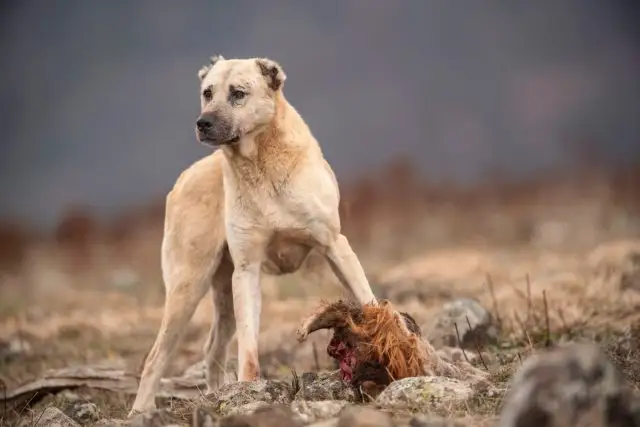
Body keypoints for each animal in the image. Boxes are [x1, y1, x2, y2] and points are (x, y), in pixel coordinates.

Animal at [130, 55, 380, 416]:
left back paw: (212, 396)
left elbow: (368, 299)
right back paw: (141, 411)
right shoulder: (247, 271)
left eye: (238, 93)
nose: (203, 123)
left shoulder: (335, 246)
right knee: (156, 357)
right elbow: (248, 346)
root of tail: (184, 178)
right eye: (207, 93)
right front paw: (249, 393)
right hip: (188, 287)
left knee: (212, 350)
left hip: (220, 293)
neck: (261, 166)